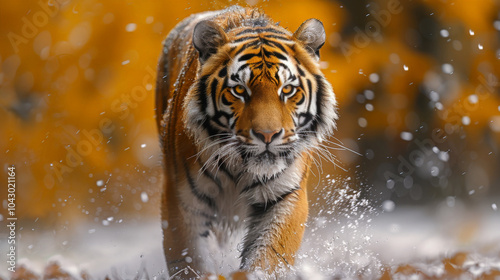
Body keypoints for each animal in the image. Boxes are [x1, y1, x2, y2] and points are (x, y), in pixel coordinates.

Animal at [154, 5, 338, 278]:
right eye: (239, 90)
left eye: (287, 89)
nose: (267, 135)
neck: (238, 168)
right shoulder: (182, 202)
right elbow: (192, 261)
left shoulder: (285, 194)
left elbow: (268, 256)